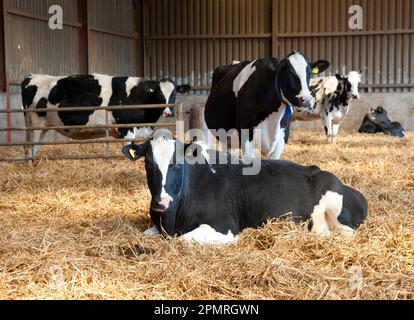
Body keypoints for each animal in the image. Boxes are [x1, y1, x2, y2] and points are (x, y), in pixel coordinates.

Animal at [121, 132, 368, 245]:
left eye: (177, 164)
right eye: (148, 164)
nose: (161, 202)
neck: (171, 219)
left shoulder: (224, 227)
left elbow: (182, 240)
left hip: (337, 211)